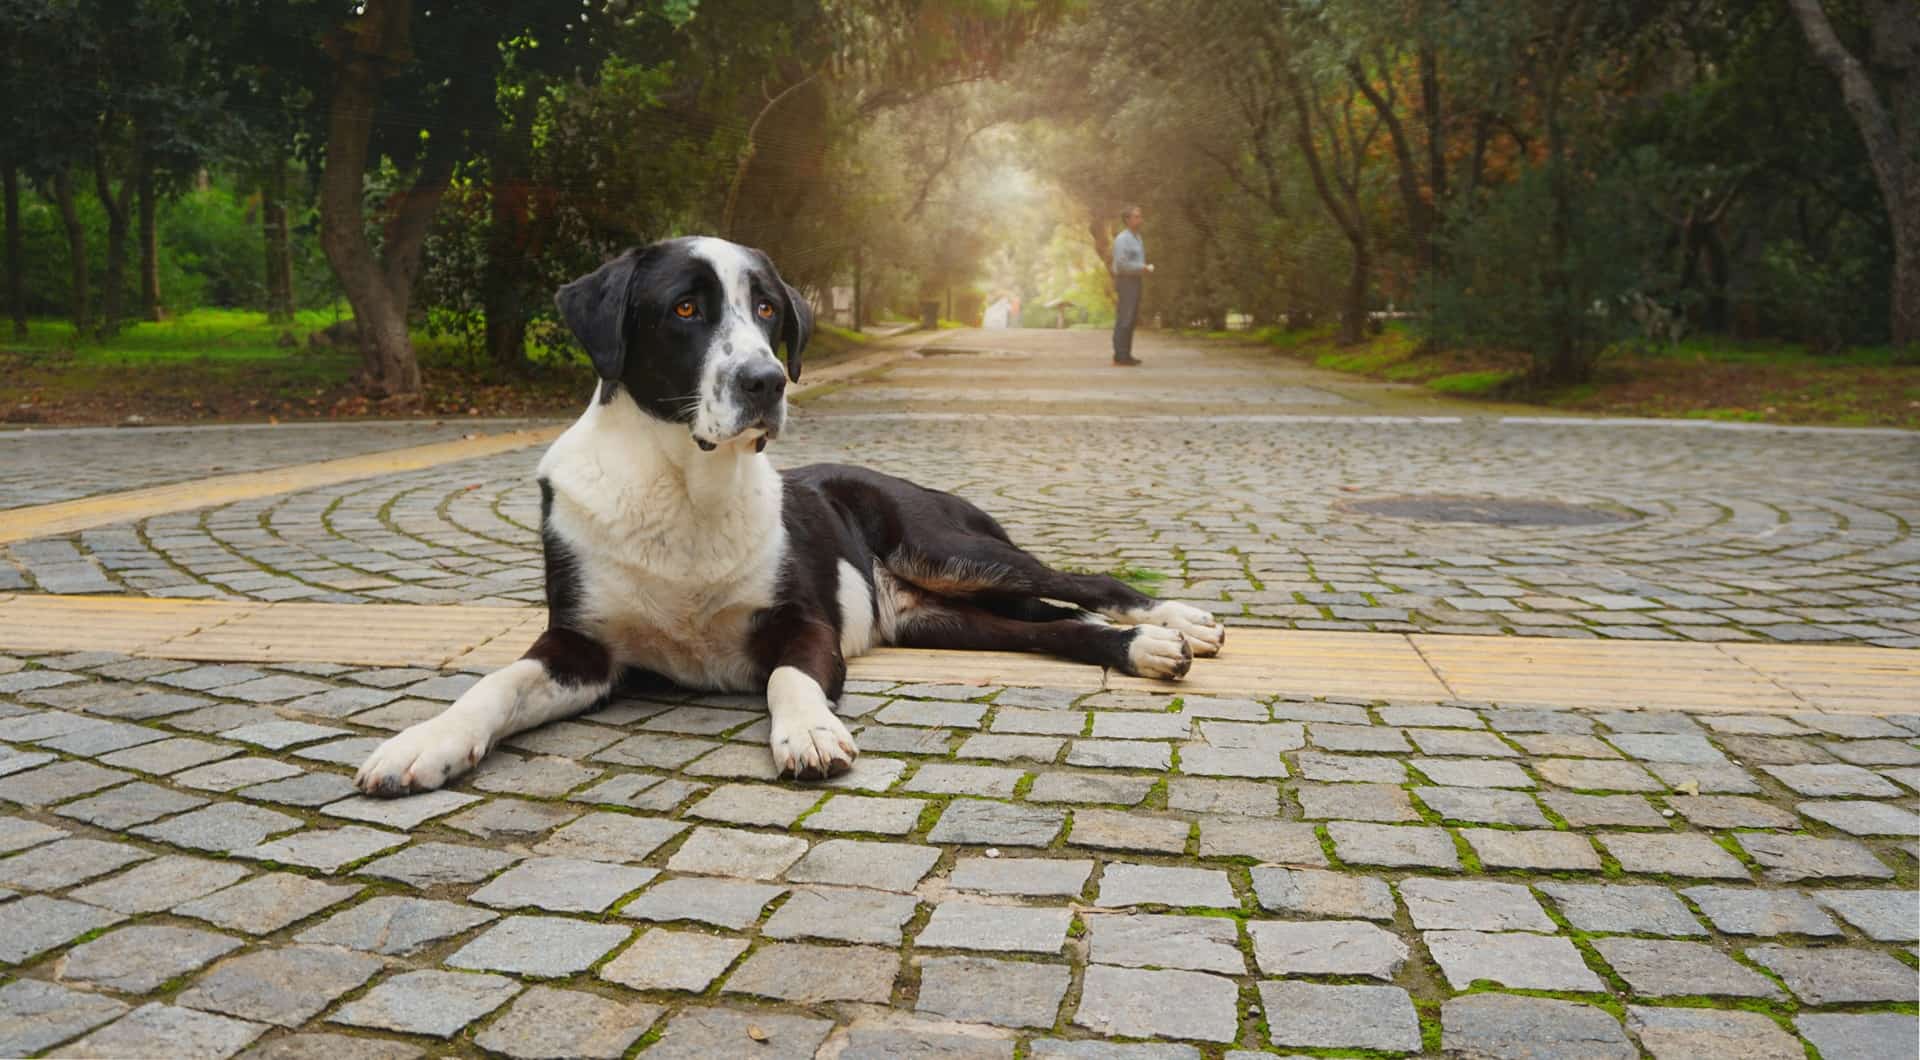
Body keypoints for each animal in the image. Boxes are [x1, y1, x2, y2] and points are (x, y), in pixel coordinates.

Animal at [359, 234, 1221, 795]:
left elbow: (786, 676)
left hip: (945, 547)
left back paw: (1177, 621)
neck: (685, 484)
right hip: (946, 614)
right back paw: (1143, 647)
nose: (767, 381)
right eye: (684, 309)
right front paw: (424, 742)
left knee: (1087, 581)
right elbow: (496, 684)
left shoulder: (804, 623)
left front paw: (807, 730)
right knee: (1054, 626)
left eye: (769, 309)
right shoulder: (582, 648)